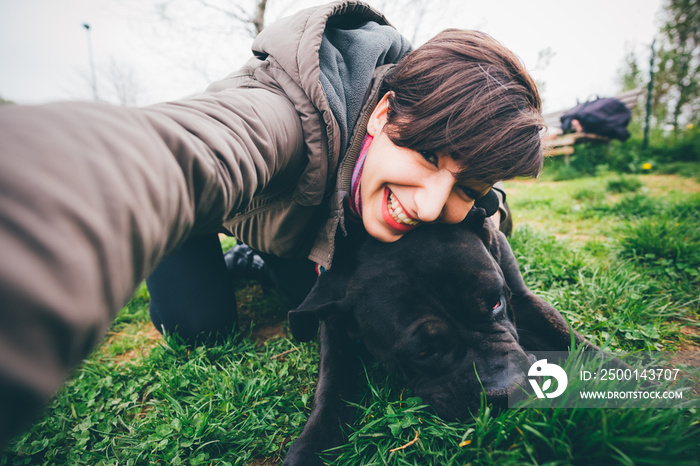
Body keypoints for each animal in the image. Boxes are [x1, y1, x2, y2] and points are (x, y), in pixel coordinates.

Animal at [284, 208, 596, 466]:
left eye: (496, 303)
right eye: (422, 352)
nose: (508, 390)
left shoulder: (523, 299)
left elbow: (570, 338)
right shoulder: (333, 326)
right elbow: (331, 381)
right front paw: (312, 444)